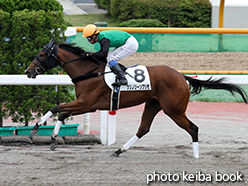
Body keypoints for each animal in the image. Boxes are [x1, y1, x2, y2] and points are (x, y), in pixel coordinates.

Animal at [24, 39, 246, 158]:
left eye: (42, 54)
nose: (28, 72)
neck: (88, 72)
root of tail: (181, 76)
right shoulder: (88, 105)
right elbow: (62, 113)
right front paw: (53, 138)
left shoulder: (87, 103)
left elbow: (57, 108)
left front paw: (35, 129)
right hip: (153, 104)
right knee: (143, 129)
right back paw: (119, 150)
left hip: (174, 110)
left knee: (193, 128)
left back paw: (197, 155)